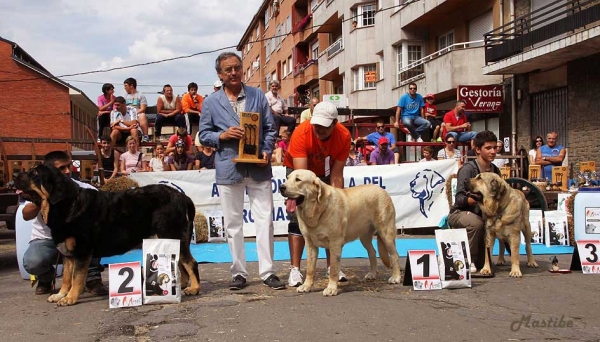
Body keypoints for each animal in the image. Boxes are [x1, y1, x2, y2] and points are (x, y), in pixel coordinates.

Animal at [14, 164, 200, 306]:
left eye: (35, 174)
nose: (15, 174)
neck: (68, 205)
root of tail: (182, 197)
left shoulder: (82, 251)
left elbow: (76, 277)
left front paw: (70, 298)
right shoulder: (67, 252)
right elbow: (67, 277)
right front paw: (61, 294)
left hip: (170, 234)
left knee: (190, 263)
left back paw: (194, 288)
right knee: (180, 262)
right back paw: (183, 284)